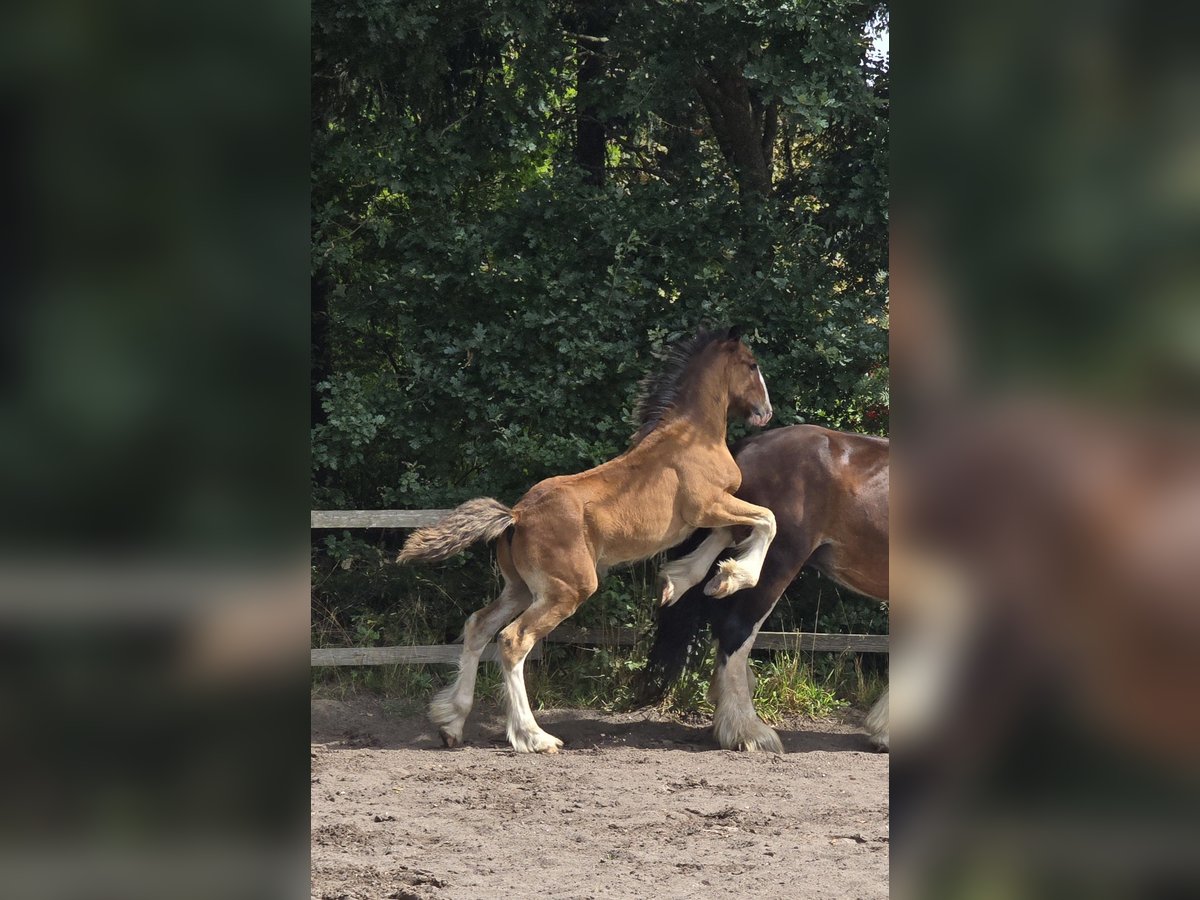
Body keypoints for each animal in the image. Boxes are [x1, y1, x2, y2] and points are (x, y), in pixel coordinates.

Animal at [398, 328, 777, 753]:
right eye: (752, 364)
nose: (766, 411)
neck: (692, 438)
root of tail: (516, 516)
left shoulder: (714, 510)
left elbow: (734, 531)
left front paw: (685, 581)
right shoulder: (708, 506)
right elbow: (767, 520)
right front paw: (733, 577)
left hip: (522, 589)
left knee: (479, 626)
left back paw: (452, 723)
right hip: (567, 591)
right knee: (512, 641)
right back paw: (534, 737)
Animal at [638, 422, 892, 753]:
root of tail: (747, 447)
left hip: (732, 536)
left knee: (699, 577)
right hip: (780, 561)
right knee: (735, 630)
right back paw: (746, 731)